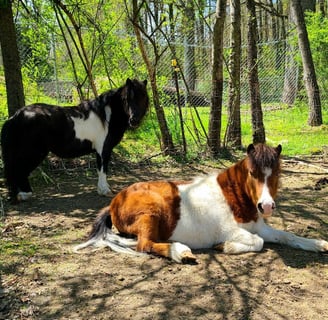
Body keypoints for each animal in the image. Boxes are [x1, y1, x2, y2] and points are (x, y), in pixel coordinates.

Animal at [0, 78, 149, 201]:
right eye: (126, 99)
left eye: (143, 98)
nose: (134, 120)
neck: (106, 117)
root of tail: (16, 116)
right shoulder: (103, 150)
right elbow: (102, 169)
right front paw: (105, 190)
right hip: (33, 152)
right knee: (19, 170)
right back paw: (24, 194)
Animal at [74, 144, 328, 264]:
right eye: (252, 172)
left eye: (276, 173)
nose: (265, 206)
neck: (234, 198)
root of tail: (115, 201)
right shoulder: (232, 230)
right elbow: (259, 243)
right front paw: (224, 247)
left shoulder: (259, 226)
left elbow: (287, 236)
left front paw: (318, 244)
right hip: (150, 214)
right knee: (144, 244)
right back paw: (180, 252)